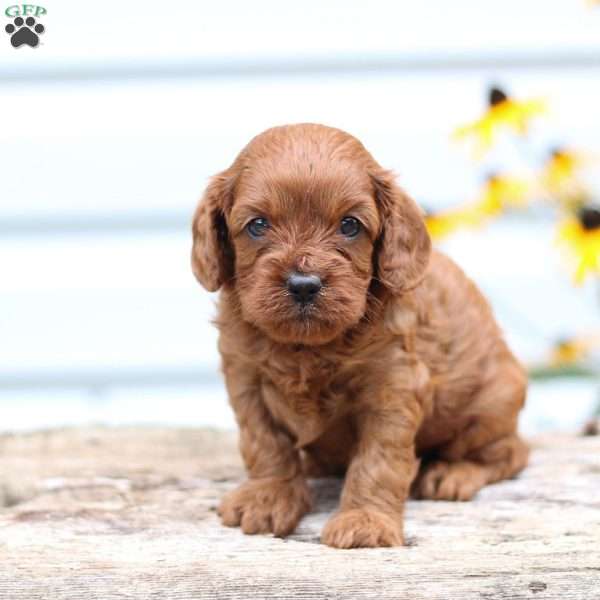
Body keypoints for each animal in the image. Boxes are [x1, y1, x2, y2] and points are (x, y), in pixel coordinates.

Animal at [190, 122, 528, 548]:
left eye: (350, 225)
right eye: (258, 225)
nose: (304, 284)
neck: (306, 348)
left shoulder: (393, 386)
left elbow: (379, 459)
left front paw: (365, 521)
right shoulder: (245, 377)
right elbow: (265, 442)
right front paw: (268, 496)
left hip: (489, 407)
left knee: (511, 453)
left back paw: (452, 473)